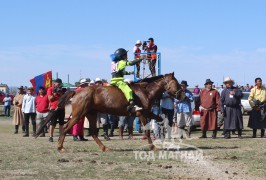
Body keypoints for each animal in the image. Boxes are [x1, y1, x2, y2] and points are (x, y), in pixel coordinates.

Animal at [36, 72, 184, 151]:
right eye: (176, 83)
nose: (183, 96)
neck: (145, 91)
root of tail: (77, 92)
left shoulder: (148, 112)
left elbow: (161, 119)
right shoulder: (141, 114)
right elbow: (147, 131)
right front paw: (152, 147)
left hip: (91, 114)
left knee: (94, 132)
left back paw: (104, 148)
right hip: (78, 115)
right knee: (67, 127)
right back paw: (60, 147)